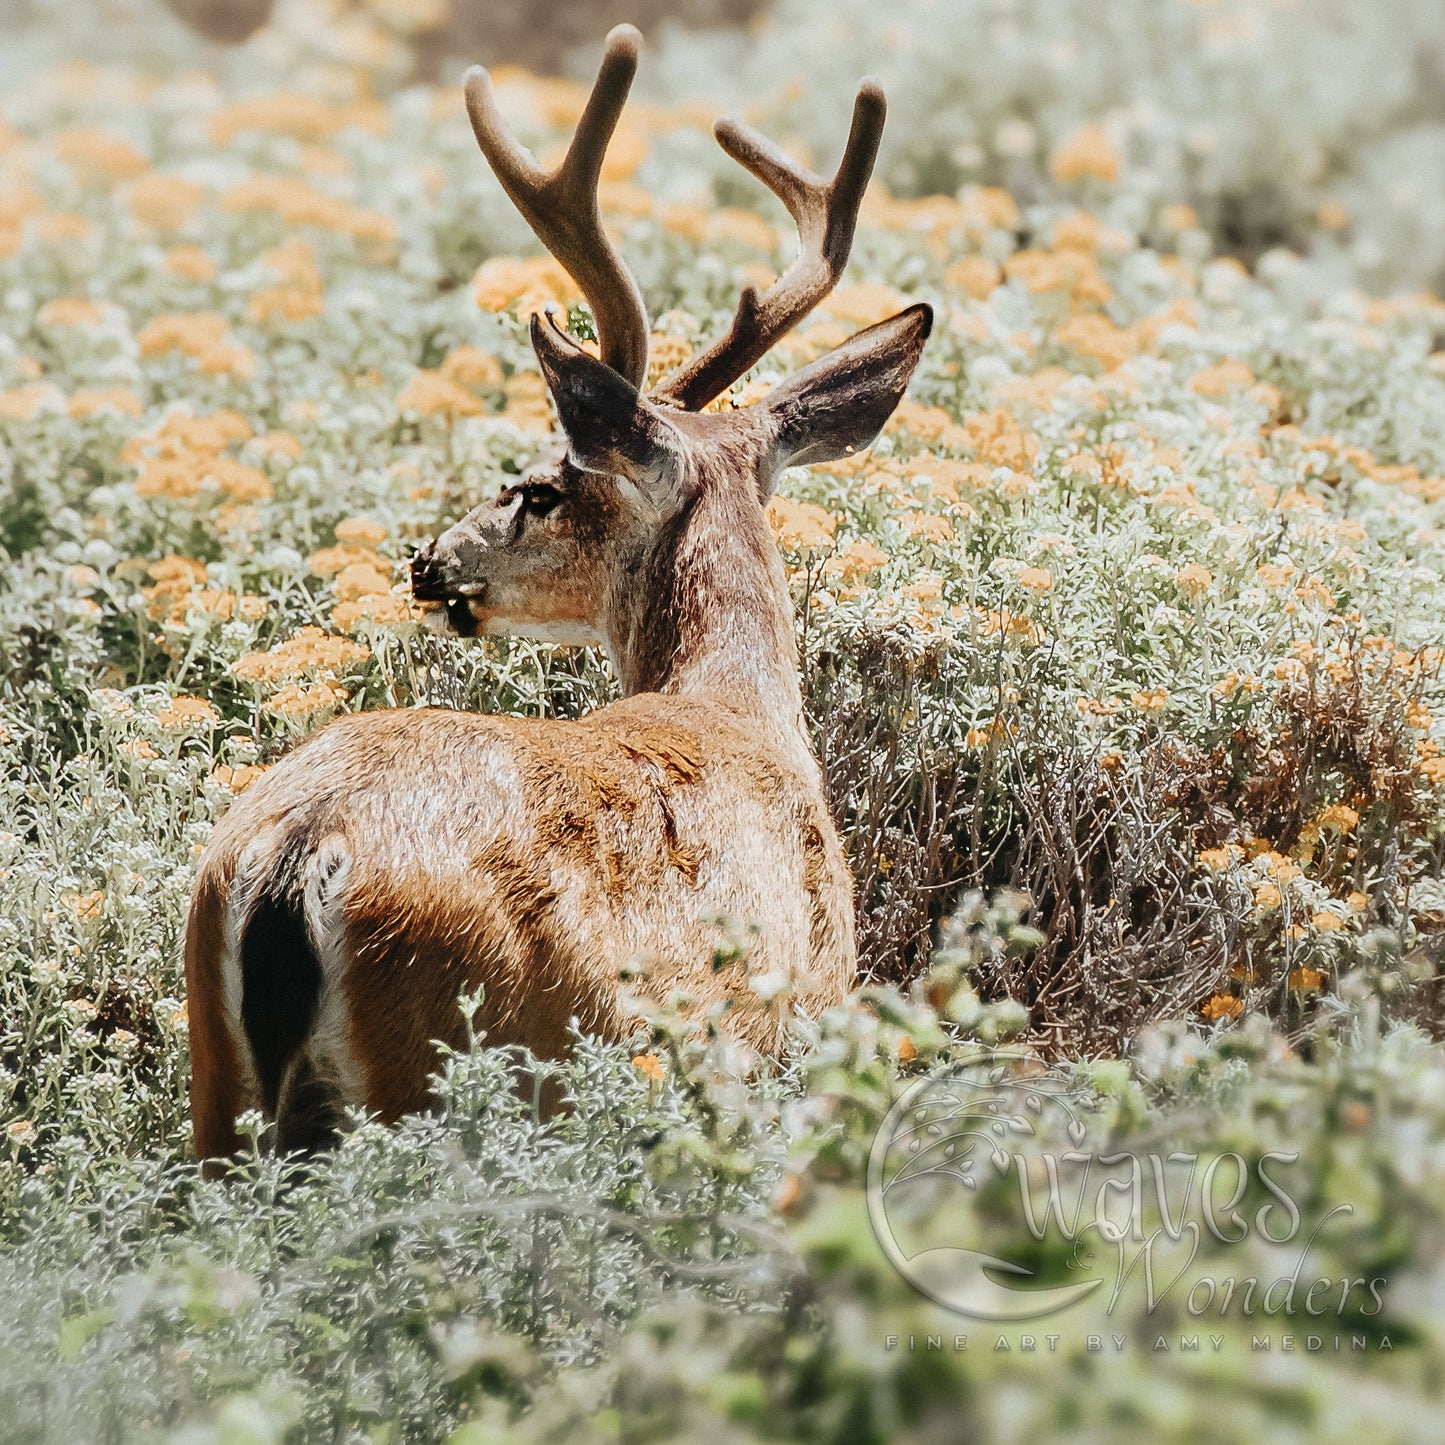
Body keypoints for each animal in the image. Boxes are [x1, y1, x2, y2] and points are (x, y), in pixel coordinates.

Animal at [183, 25, 924, 1161]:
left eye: (539, 488)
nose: (427, 560)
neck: (738, 709)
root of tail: (294, 853)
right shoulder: (795, 1022)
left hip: (216, 1083)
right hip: (442, 1062)